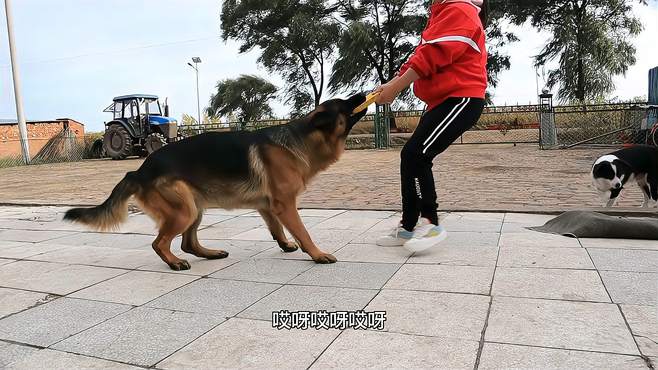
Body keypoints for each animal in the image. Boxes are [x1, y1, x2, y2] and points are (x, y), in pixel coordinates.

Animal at [65, 94, 368, 270]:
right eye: (344, 103)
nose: (364, 93)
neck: (302, 139)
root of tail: (138, 171)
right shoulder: (285, 204)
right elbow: (303, 232)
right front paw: (317, 254)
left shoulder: (268, 206)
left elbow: (277, 230)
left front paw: (285, 245)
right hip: (184, 210)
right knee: (160, 243)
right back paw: (175, 262)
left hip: (194, 208)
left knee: (187, 243)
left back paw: (209, 253)